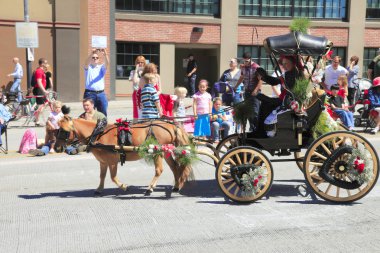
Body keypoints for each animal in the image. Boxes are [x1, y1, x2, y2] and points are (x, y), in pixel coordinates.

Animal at [54, 117, 193, 196]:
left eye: (64, 131)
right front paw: (99, 189)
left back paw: (150, 188)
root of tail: (171, 125)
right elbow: (102, 176)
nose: (56, 148)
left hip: (157, 152)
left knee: (159, 170)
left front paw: (124, 187)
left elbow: (113, 177)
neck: (98, 133)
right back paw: (176, 186)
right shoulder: (103, 162)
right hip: (166, 151)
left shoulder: (112, 161)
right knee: (175, 168)